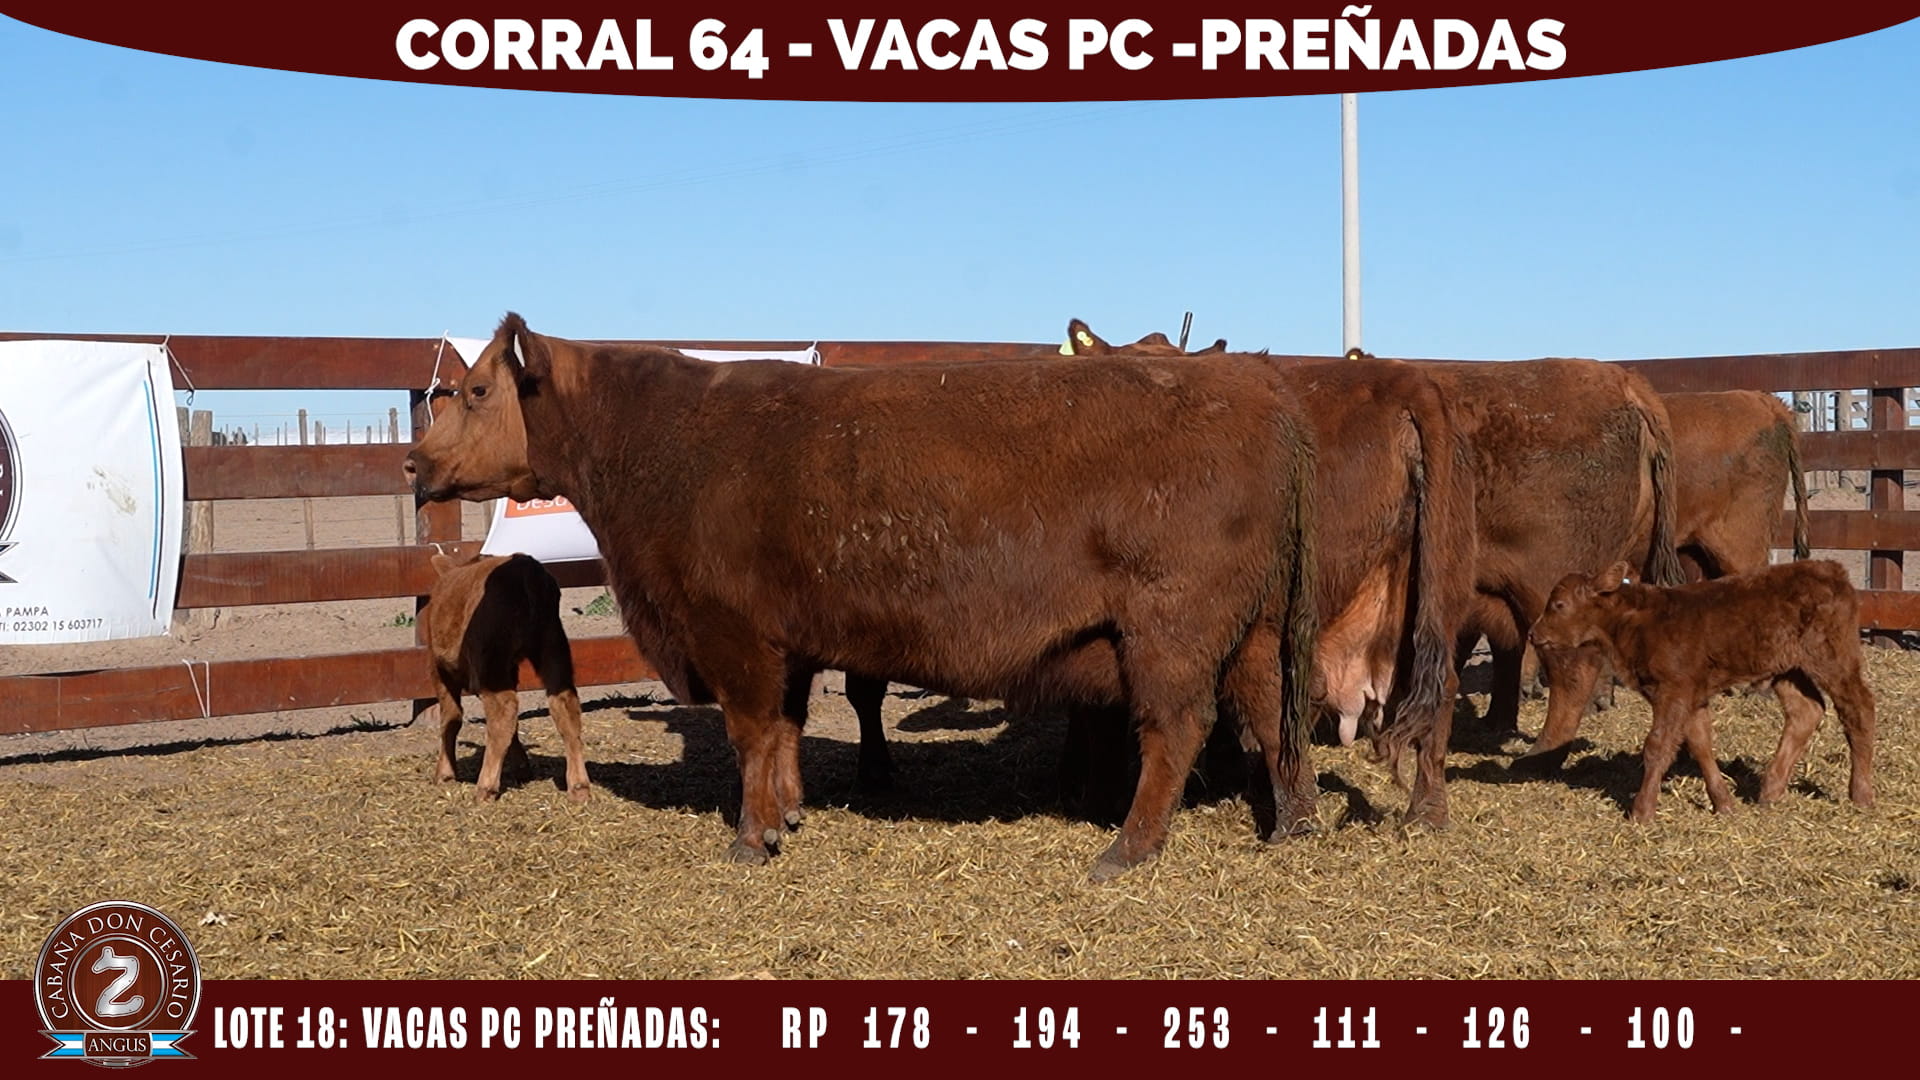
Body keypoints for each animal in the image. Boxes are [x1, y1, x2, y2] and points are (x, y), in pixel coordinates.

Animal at [423, 550, 589, 803]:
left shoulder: (439, 669)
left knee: (503, 709)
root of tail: (525, 568)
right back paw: (579, 786)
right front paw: (521, 767)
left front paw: (445, 773)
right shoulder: (510, 669)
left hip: (492, 661)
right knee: (564, 704)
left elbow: (451, 719)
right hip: (552, 645)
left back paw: (485, 787)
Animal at [1527, 559, 1875, 821]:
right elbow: (1700, 744)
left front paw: (1641, 811)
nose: (1533, 633)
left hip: (1832, 658)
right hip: (1788, 668)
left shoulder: (1674, 691)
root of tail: (1829, 568)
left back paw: (1860, 793)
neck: (1635, 624)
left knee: (1858, 709)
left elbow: (1657, 746)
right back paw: (1770, 791)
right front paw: (1724, 803)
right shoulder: (1691, 695)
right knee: (1806, 709)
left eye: (1559, 604)